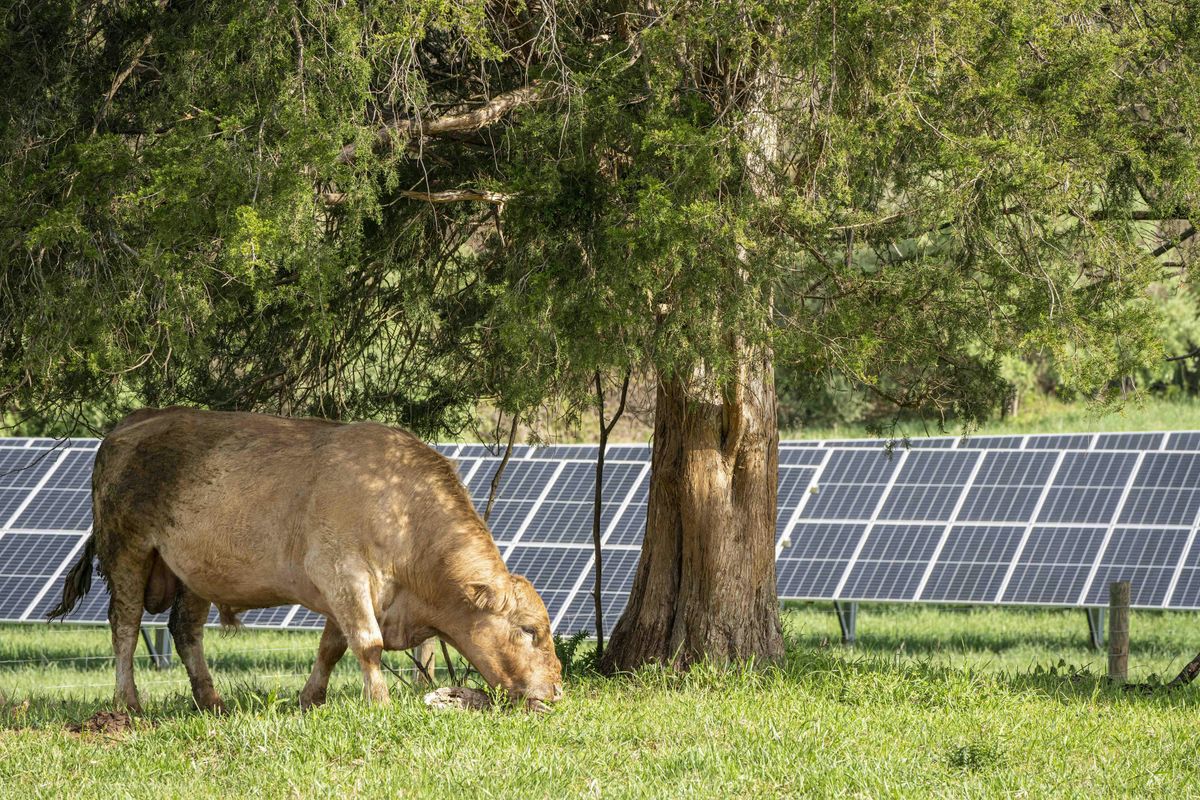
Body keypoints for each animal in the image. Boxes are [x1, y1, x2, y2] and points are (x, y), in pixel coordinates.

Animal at [49, 412, 564, 714]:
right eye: (529, 631)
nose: (557, 691)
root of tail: (128, 426)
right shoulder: (343, 574)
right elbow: (368, 644)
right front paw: (379, 704)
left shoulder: (346, 591)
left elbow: (331, 648)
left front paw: (309, 698)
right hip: (128, 551)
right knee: (125, 626)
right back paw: (128, 701)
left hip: (191, 573)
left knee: (184, 631)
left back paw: (211, 700)